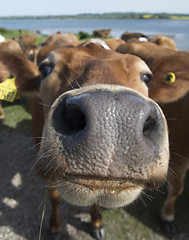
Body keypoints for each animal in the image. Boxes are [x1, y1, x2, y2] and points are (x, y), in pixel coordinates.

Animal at [0, 40, 169, 239]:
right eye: (45, 69)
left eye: (146, 77)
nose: (113, 117)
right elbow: (54, 197)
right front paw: (55, 227)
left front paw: (97, 223)